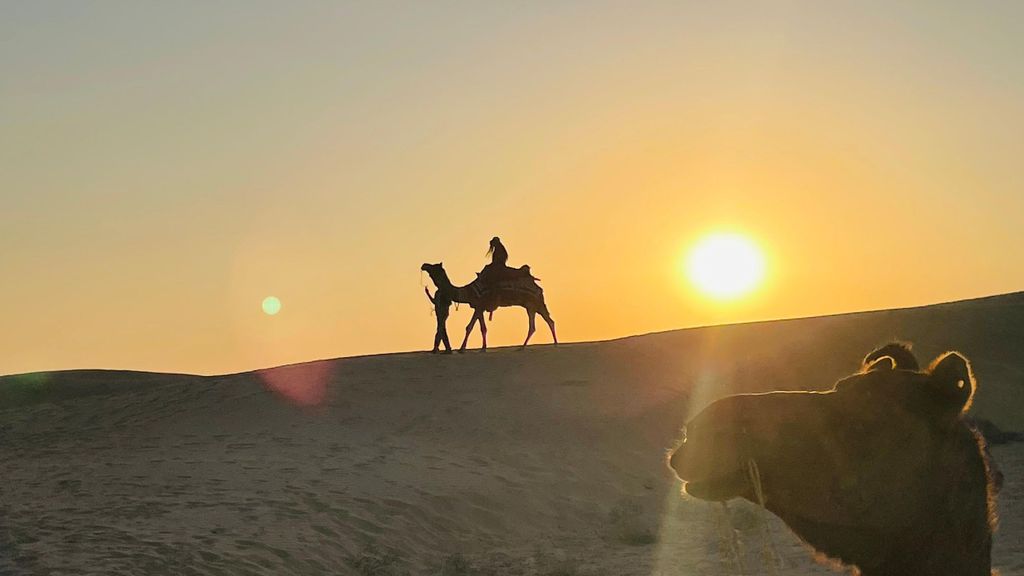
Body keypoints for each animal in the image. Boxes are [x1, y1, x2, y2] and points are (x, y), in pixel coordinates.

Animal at [421, 262, 557, 351]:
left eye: (434, 267)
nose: (424, 265)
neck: (468, 291)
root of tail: (537, 286)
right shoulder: (479, 307)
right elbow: (481, 328)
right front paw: (483, 347)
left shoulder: (479, 305)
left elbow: (470, 327)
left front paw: (462, 349)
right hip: (532, 306)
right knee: (543, 323)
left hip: (535, 303)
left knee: (544, 322)